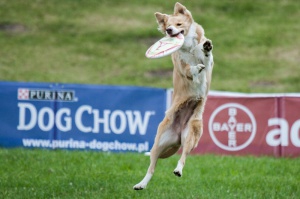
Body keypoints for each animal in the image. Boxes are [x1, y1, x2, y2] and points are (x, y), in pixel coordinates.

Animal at [134, 2, 213, 190]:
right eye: (167, 25)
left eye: (178, 24)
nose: (169, 30)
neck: (189, 48)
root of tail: (177, 135)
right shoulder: (182, 65)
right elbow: (190, 69)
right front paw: (195, 68)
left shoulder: (208, 68)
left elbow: (205, 59)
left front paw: (206, 48)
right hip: (159, 142)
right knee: (151, 167)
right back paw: (141, 184)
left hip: (191, 134)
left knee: (183, 157)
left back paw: (178, 170)